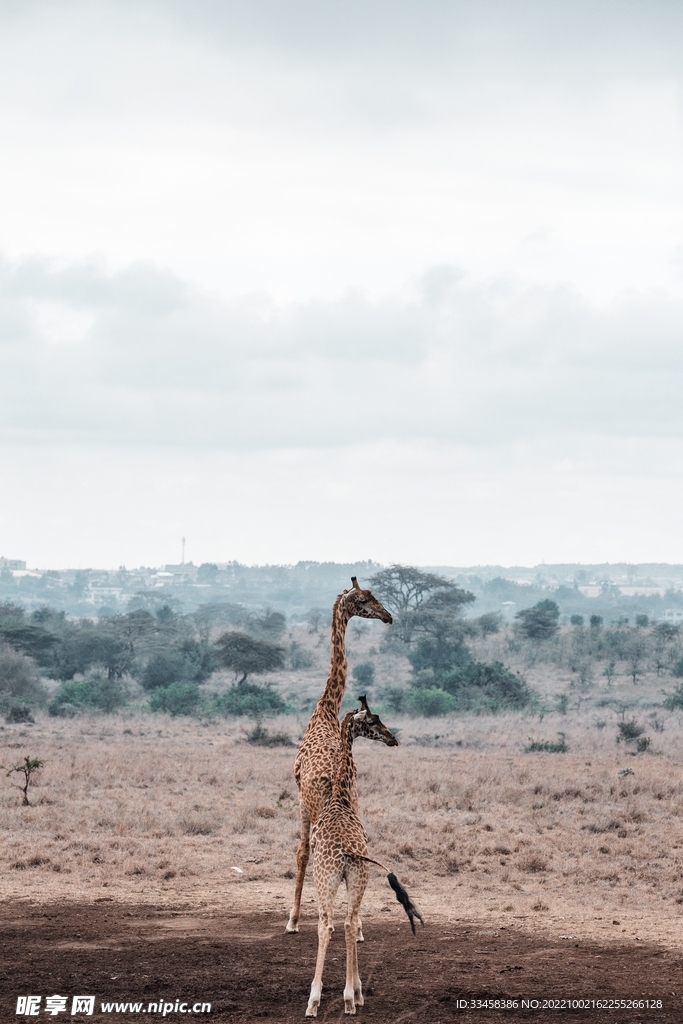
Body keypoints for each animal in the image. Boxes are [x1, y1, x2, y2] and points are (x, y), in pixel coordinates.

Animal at [284, 577, 393, 937]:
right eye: (364, 599)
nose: (388, 616)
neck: (325, 711)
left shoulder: (301, 800)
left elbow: (301, 853)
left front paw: (293, 919)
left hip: (317, 808)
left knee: (314, 853)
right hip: (349, 802)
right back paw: (355, 925)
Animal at [305, 704, 421, 1015]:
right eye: (371, 721)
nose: (392, 738)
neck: (340, 797)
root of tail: (346, 851)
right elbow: (354, 922)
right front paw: (356, 991)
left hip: (331, 878)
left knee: (331, 923)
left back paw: (317, 1000)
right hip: (351, 877)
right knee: (343, 922)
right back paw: (346, 997)